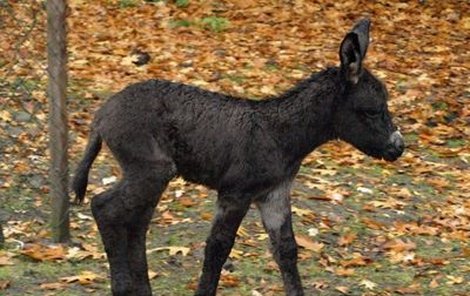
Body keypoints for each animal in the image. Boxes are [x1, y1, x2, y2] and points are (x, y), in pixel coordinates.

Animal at [73, 19, 404, 294]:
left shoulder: (273, 194)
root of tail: (102, 114)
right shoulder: (236, 193)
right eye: (372, 110)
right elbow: (217, 249)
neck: (279, 135)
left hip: (150, 175)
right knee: (106, 208)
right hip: (151, 169)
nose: (398, 148)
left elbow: (286, 251)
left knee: (136, 222)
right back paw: (122, 286)